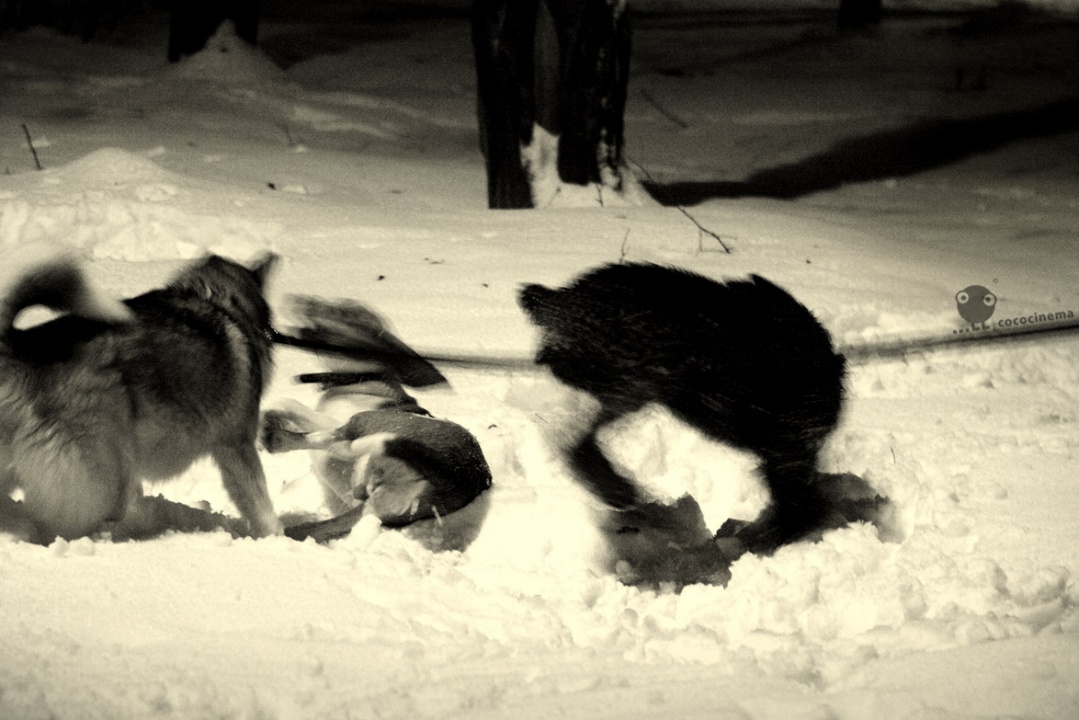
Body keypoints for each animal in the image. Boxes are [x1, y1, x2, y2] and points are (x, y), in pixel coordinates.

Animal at [0, 244, 283, 544]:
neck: (221, 303)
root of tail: (19, 345)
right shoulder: (236, 445)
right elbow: (259, 502)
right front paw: (276, 536)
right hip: (99, 472)